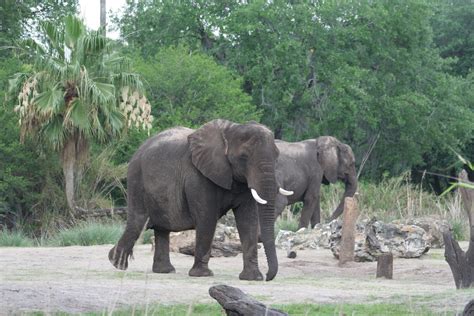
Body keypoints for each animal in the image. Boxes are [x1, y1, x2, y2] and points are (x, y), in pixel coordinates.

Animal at [109, 119, 292, 282]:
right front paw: (202, 275)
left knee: (161, 228)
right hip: (136, 179)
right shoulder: (198, 176)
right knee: (137, 222)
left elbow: (248, 221)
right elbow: (207, 217)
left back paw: (164, 271)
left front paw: (253, 278)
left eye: (277, 156)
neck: (231, 130)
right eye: (244, 157)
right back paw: (117, 263)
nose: (268, 277)